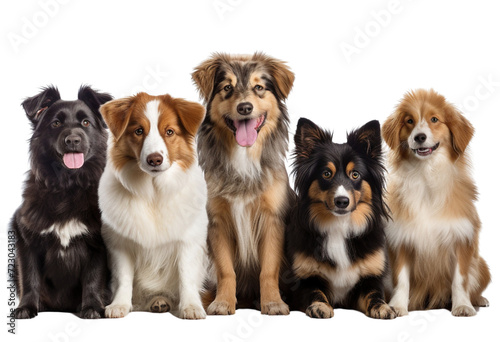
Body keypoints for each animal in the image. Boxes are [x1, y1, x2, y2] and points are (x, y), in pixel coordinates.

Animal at [11, 85, 113, 318]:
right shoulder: (27, 242)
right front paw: (26, 307)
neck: (68, 185)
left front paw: (92, 307)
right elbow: (29, 278)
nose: (73, 140)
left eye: (86, 123)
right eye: (56, 123)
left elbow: (94, 277)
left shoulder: (99, 245)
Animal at [98, 92, 208, 320]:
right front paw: (119, 305)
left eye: (170, 132)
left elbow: (186, 276)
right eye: (139, 131)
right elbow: (124, 278)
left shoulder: (188, 242)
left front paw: (191, 306)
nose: (154, 159)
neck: (153, 194)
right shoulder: (120, 244)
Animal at [190, 51, 292, 316]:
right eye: (227, 88)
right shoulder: (218, 222)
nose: (244, 107)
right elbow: (226, 271)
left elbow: (268, 270)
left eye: (259, 87)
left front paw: (272, 302)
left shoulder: (272, 220)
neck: (244, 157)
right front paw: (223, 302)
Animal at [288, 119, 396, 320]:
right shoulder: (305, 279)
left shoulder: (370, 279)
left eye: (355, 174)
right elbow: (315, 292)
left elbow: (374, 294)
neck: (339, 224)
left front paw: (383, 307)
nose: (342, 201)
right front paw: (320, 306)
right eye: (326, 174)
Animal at [380, 89, 490, 316]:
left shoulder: (461, 239)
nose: (419, 137)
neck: (426, 175)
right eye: (409, 121)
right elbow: (401, 280)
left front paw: (463, 305)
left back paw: (479, 299)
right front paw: (397, 306)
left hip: (482, 266)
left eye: (434, 120)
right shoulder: (401, 239)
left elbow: (460, 279)